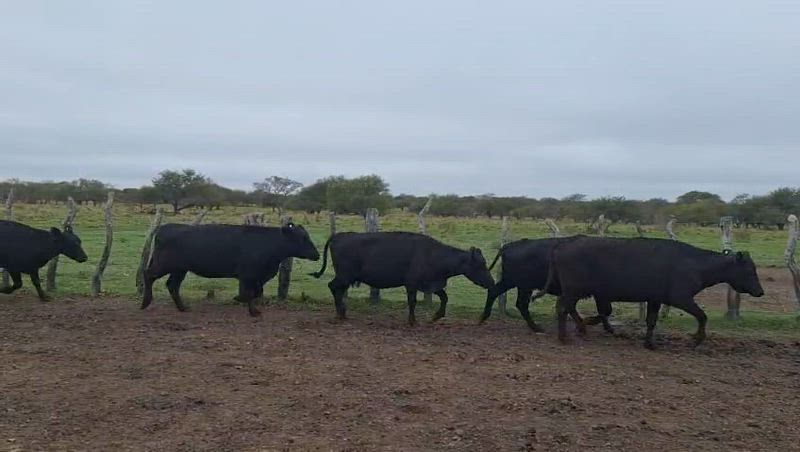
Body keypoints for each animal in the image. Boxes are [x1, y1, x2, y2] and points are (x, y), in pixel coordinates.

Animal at [141, 222, 320, 317]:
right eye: (302, 238)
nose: (317, 255)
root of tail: (166, 227)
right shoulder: (248, 275)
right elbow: (249, 294)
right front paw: (251, 309)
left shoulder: (257, 277)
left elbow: (256, 293)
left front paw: (244, 303)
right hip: (164, 265)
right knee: (148, 275)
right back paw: (145, 302)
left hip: (180, 269)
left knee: (172, 285)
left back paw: (183, 308)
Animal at [309, 232, 495, 325]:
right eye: (480, 265)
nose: (491, 282)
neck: (433, 254)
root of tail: (339, 235)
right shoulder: (412, 284)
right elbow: (412, 302)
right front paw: (412, 321)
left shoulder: (431, 285)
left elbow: (444, 297)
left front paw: (436, 316)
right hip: (344, 276)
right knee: (333, 287)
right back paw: (340, 313)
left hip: (346, 278)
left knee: (338, 290)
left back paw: (342, 312)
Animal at [478, 236, 615, 334]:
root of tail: (508, 246)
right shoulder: (599, 294)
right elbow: (605, 310)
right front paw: (590, 323)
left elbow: (605, 310)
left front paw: (607, 328)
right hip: (518, 284)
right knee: (516, 302)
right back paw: (536, 328)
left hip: (518, 285)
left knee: (504, 296)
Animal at [531, 236, 764, 348]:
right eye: (750, 270)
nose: (760, 292)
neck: (696, 265)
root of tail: (564, 243)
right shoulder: (680, 298)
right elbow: (702, 316)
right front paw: (697, 339)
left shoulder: (655, 299)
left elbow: (651, 321)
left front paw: (649, 343)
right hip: (574, 289)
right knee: (563, 308)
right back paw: (565, 337)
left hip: (573, 290)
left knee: (565, 307)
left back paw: (581, 327)